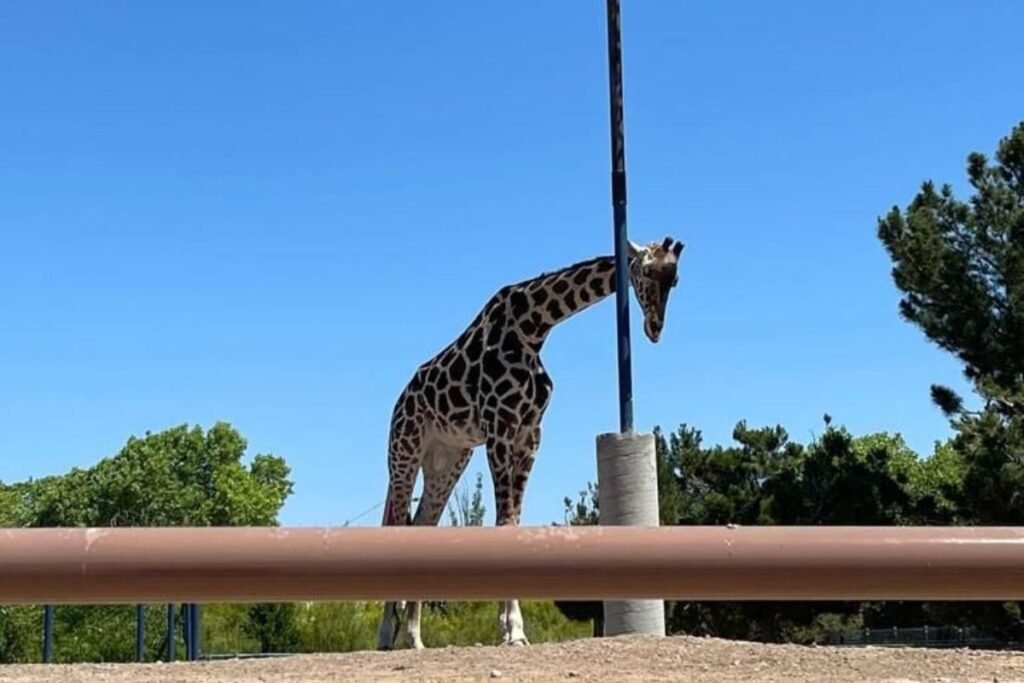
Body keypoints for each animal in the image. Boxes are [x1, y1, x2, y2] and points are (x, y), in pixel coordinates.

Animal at [376, 235, 685, 650]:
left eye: (675, 279)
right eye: (648, 271)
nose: (654, 329)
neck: (534, 326)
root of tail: (400, 400)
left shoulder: (530, 435)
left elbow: (514, 524)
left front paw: (513, 629)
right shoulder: (499, 429)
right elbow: (504, 523)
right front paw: (511, 631)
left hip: (448, 459)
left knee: (422, 526)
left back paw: (414, 639)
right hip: (404, 450)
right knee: (397, 525)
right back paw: (384, 636)